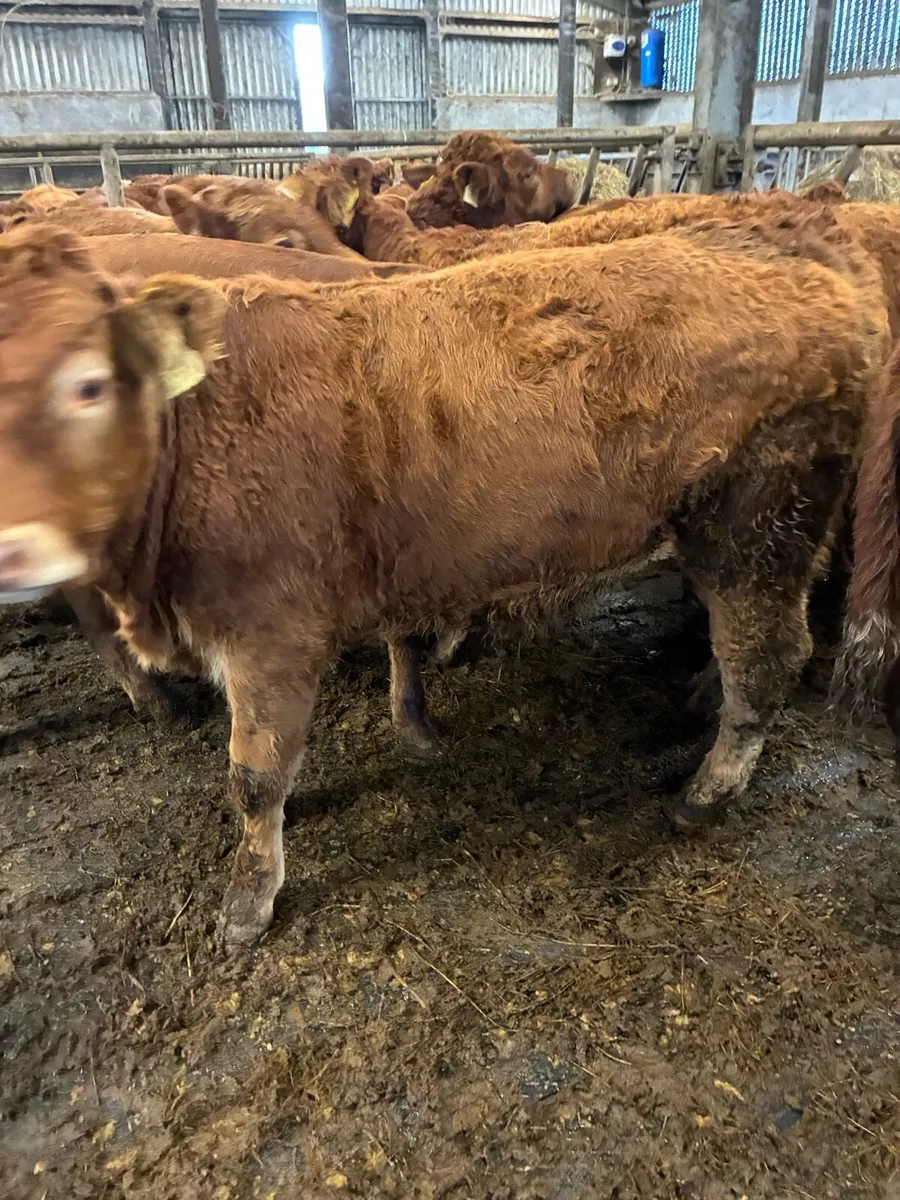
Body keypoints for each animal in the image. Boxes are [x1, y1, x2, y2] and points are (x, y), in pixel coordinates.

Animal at [0, 220, 879, 946]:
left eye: (88, 384)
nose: (14, 550)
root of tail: (792, 253)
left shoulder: (270, 633)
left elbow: (253, 773)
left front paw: (248, 901)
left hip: (760, 530)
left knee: (767, 660)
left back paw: (708, 791)